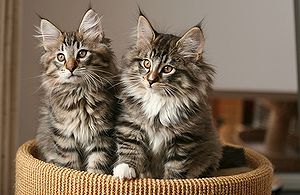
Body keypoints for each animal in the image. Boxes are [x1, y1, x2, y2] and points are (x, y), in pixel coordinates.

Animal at [36, 9, 117, 174]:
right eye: (61, 57)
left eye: (82, 54)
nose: (70, 68)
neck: (80, 95)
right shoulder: (64, 137)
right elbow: (70, 166)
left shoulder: (102, 135)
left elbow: (97, 167)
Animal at [113, 15, 221, 180]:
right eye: (146, 63)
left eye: (167, 69)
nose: (150, 80)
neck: (158, 101)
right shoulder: (131, 124)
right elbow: (130, 148)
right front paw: (125, 169)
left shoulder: (183, 139)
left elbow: (176, 166)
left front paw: (171, 181)